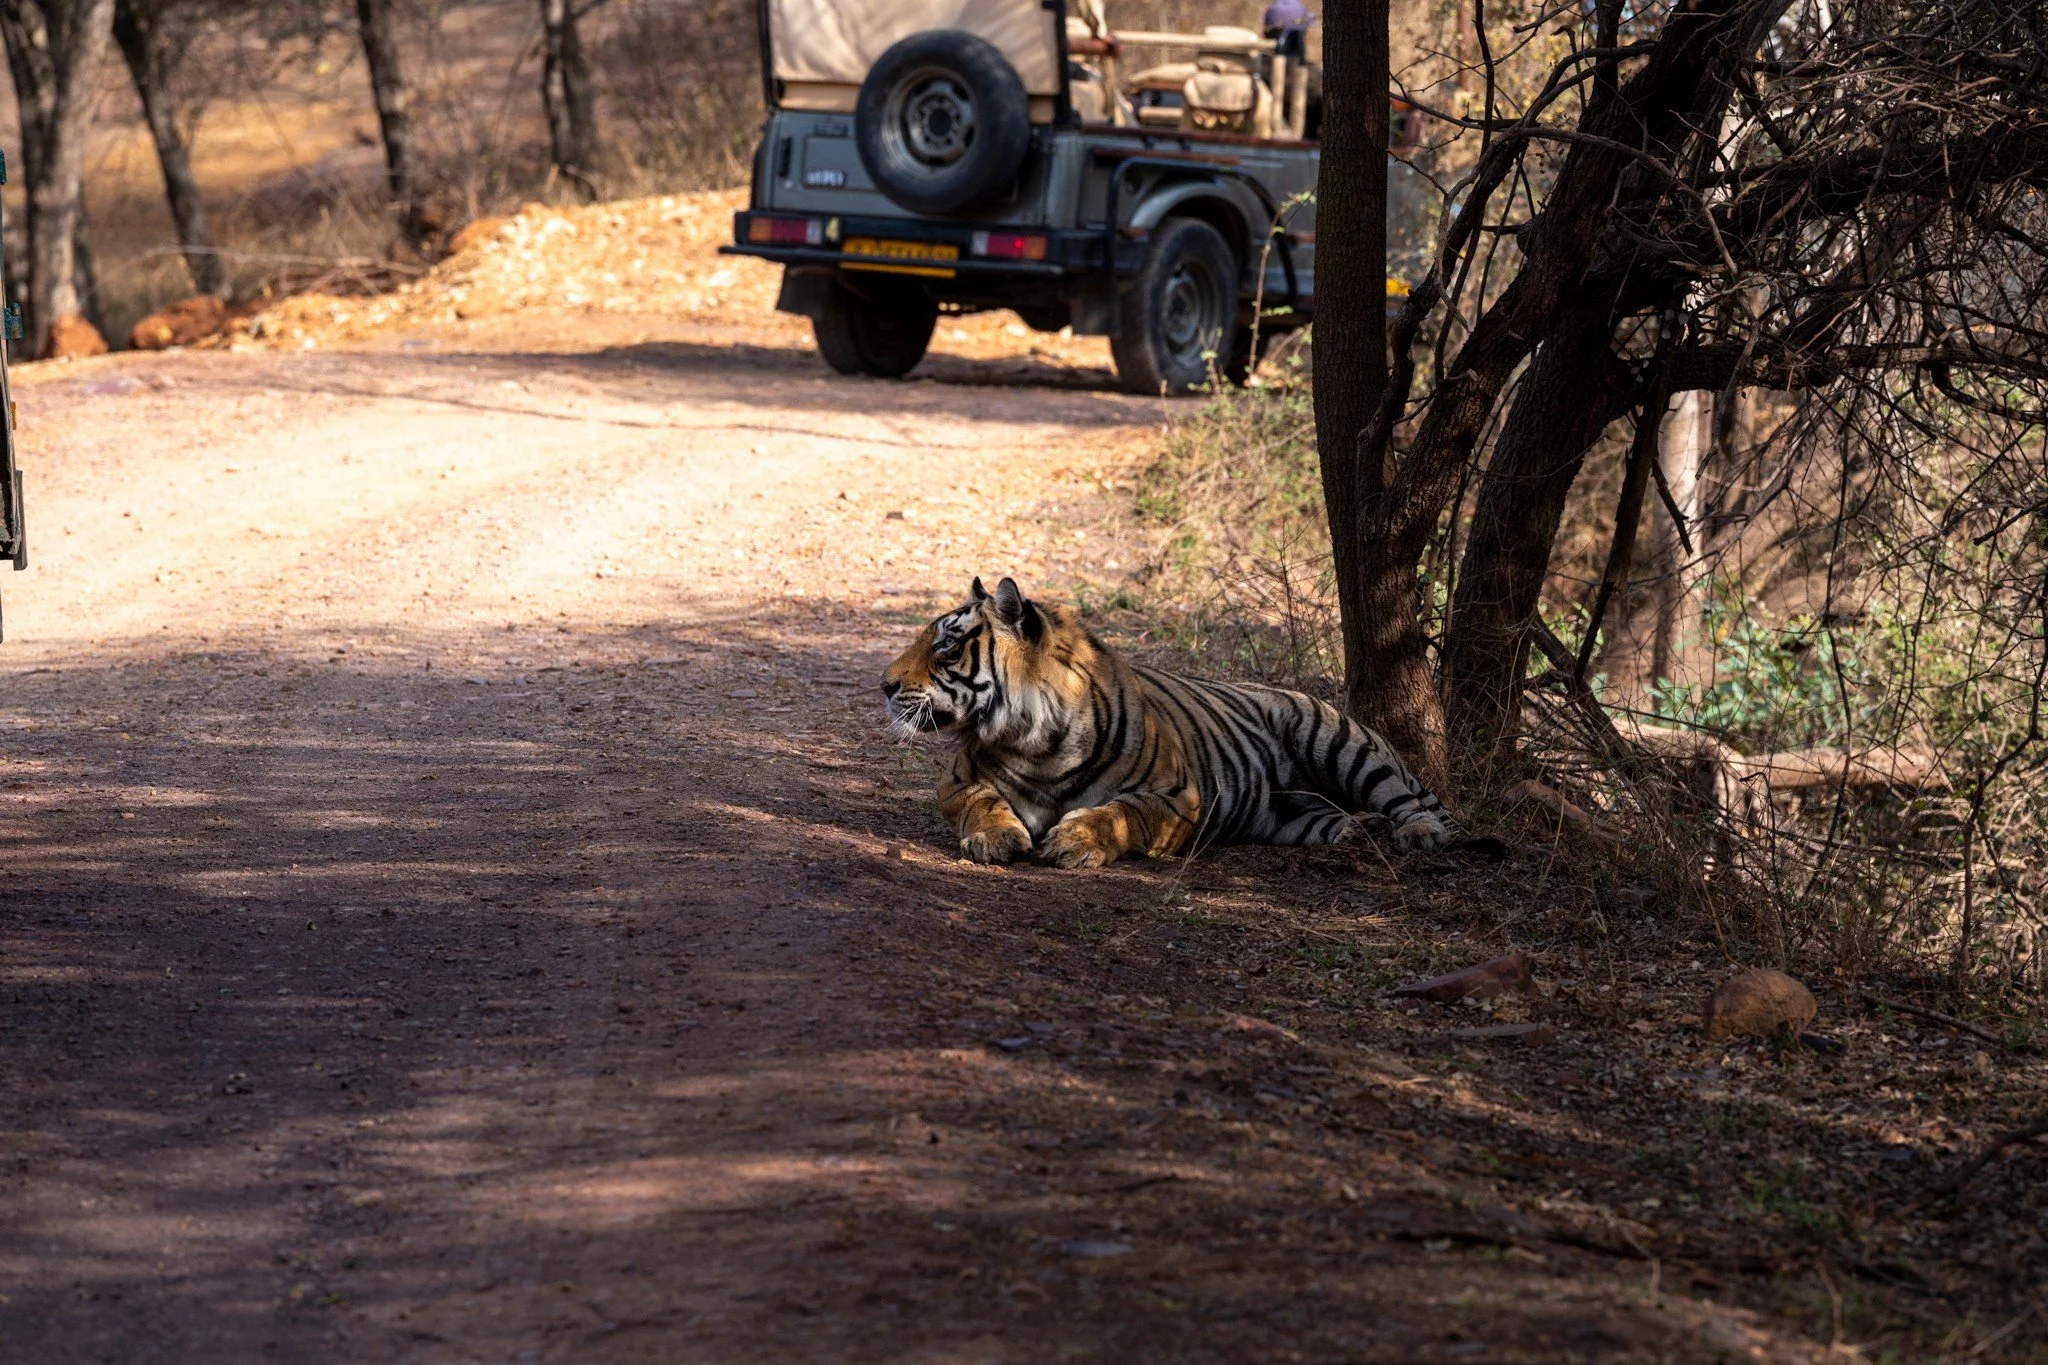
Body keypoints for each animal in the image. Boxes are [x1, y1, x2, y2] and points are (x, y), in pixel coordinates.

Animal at [880, 576, 1458, 868]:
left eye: (947, 644)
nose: (883, 684)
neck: (1036, 743)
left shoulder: (1178, 798)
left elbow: (1120, 813)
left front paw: (1075, 840)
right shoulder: (958, 781)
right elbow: (983, 802)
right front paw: (996, 838)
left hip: (1339, 739)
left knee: (1408, 800)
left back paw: (1418, 835)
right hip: (1292, 815)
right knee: (1334, 818)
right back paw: (1363, 832)